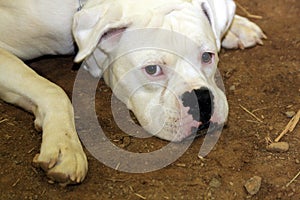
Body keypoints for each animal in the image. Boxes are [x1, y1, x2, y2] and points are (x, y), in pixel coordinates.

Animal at [0, 0, 266, 185]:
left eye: (207, 56)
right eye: (152, 69)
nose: (201, 100)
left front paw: (234, 26)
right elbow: (52, 90)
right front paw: (64, 146)